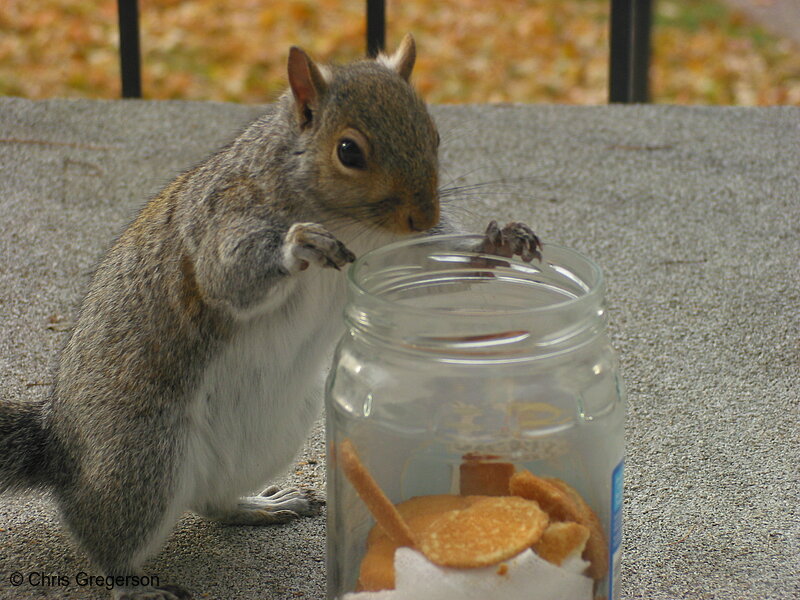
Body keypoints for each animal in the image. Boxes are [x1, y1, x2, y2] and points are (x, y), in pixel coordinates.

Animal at [0, 35, 540, 596]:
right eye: (349, 151)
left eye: (434, 134)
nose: (424, 217)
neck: (347, 219)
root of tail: (59, 446)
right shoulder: (227, 216)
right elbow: (227, 279)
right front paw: (299, 245)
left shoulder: (395, 253)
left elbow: (439, 271)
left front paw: (498, 241)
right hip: (142, 460)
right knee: (108, 540)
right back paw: (135, 581)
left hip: (271, 436)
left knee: (212, 503)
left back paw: (258, 506)